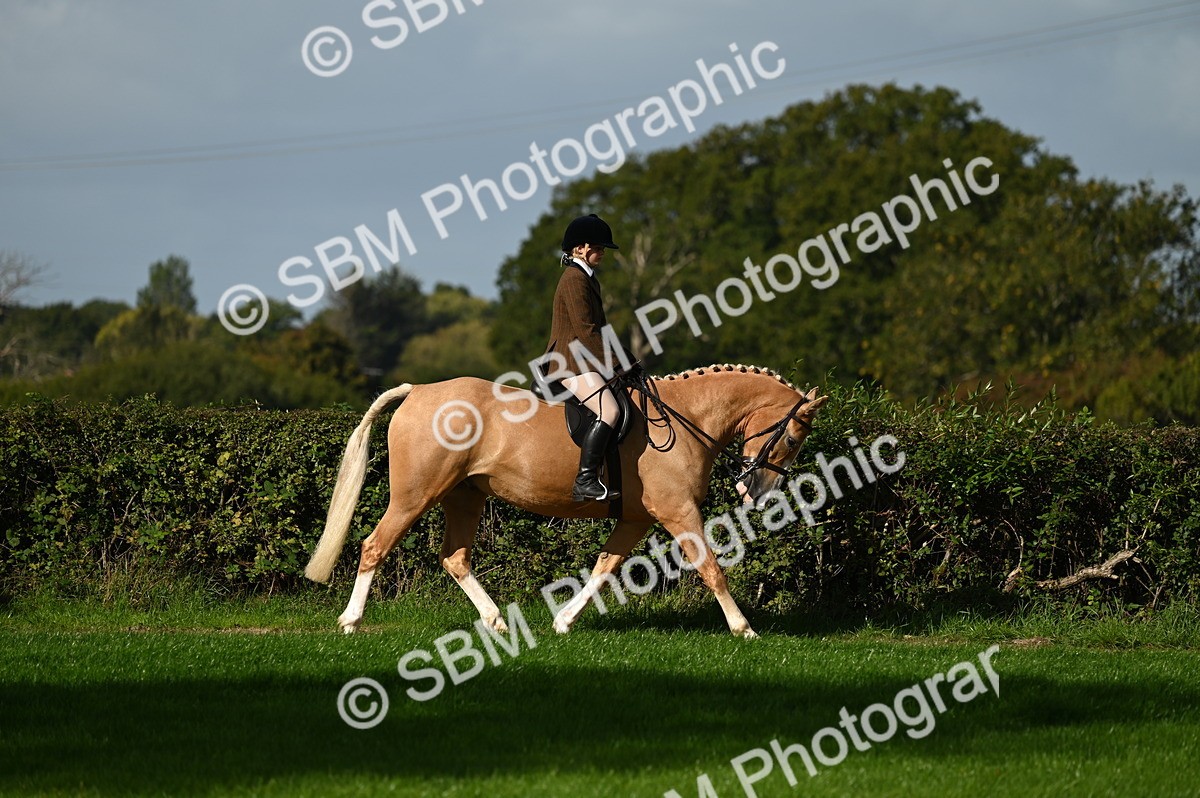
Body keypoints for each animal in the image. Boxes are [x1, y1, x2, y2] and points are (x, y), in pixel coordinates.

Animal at [303, 363, 828, 638]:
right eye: (794, 437)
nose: (755, 491)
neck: (685, 420)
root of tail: (418, 391)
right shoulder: (679, 513)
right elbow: (711, 567)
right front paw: (744, 629)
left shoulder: (637, 519)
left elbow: (604, 567)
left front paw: (563, 621)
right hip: (416, 495)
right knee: (375, 546)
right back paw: (351, 621)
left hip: (464, 498)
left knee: (454, 558)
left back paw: (496, 621)